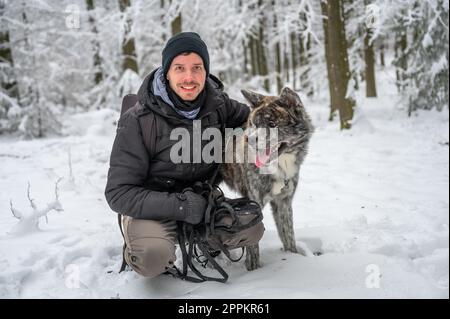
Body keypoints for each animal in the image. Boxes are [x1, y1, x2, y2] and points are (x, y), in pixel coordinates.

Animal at [221, 87, 312, 270]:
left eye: (272, 124)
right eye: (254, 123)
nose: (250, 139)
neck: (280, 164)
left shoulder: (284, 202)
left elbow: (288, 235)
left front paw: (292, 256)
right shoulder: (253, 205)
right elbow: (253, 247)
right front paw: (254, 270)